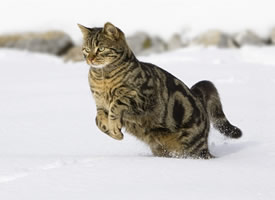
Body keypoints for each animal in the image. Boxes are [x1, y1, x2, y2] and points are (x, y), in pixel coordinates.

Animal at [77, 22, 242, 159]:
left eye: (101, 49)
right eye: (86, 49)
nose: (90, 59)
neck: (102, 78)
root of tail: (198, 98)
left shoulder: (141, 97)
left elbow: (116, 105)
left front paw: (114, 127)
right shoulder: (100, 104)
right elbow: (98, 119)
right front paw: (114, 132)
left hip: (193, 149)